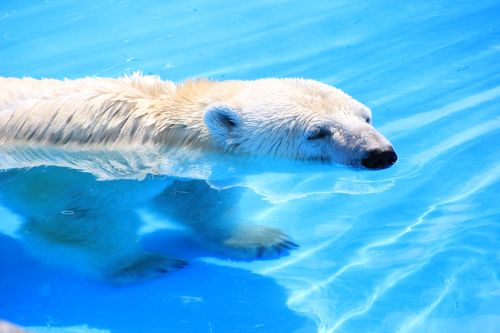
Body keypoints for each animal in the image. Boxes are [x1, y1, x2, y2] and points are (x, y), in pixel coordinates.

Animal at [0, 73, 398, 282]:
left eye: (365, 117)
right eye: (317, 133)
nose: (379, 155)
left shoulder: (180, 170)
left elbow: (196, 200)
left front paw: (257, 239)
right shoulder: (85, 179)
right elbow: (73, 225)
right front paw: (143, 264)